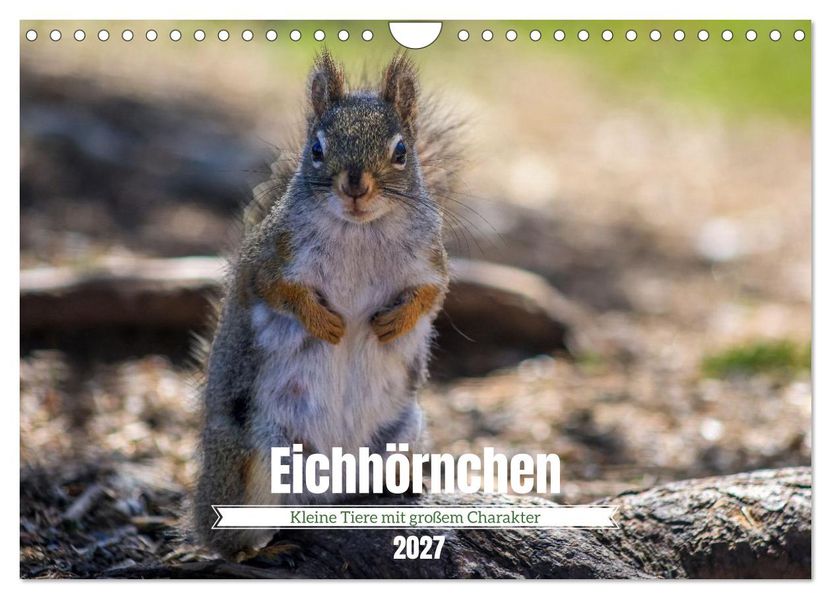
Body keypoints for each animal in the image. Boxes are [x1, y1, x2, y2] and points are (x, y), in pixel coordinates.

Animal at [191, 51, 463, 561]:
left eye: (402, 151)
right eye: (317, 148)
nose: (355, 185)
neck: (360, 229)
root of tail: (327, 493)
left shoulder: (431, 263)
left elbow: (430, 295)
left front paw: (393, 322)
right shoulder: (270, 259)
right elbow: (280, 291)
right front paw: (327, 324)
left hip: (398, 439)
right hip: (256, 463)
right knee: (229, 539)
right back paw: (260, 551)